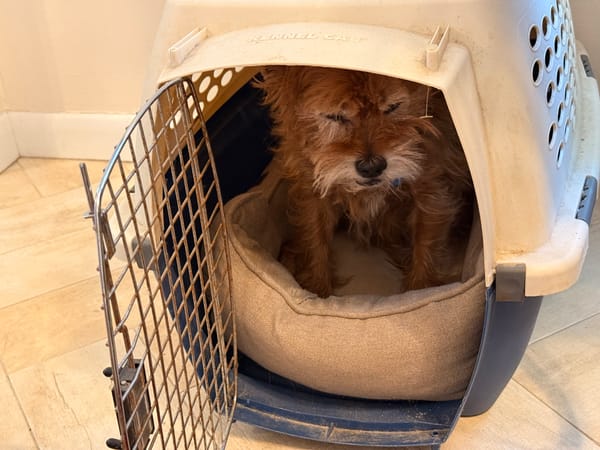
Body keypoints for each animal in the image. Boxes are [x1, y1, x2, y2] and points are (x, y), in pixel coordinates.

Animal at [256, 66, 474, 298]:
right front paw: (317, 288)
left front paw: (421, 288)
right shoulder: (313, 192)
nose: (372, 166)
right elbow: (314, 239)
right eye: (334, 116)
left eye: (393, 107)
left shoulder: (432, 193)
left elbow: (426, 245)